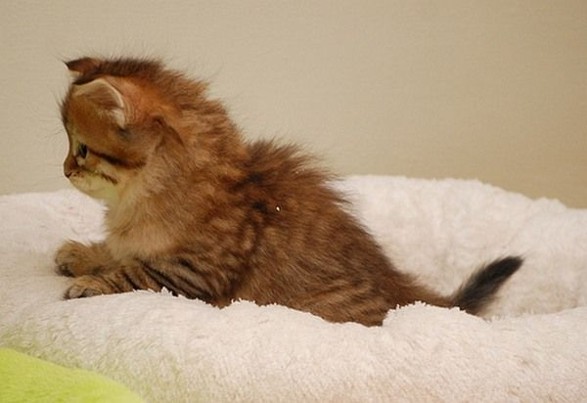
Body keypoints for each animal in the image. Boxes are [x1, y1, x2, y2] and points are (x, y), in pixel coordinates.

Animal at [55, 56, 522, 326]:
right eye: (70, 146)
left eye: (82, 149)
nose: (64, 170)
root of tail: (403, 290)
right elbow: (119, 252)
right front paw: (81, 255)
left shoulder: (190, 274)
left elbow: (134, 272)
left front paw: (90, 283)